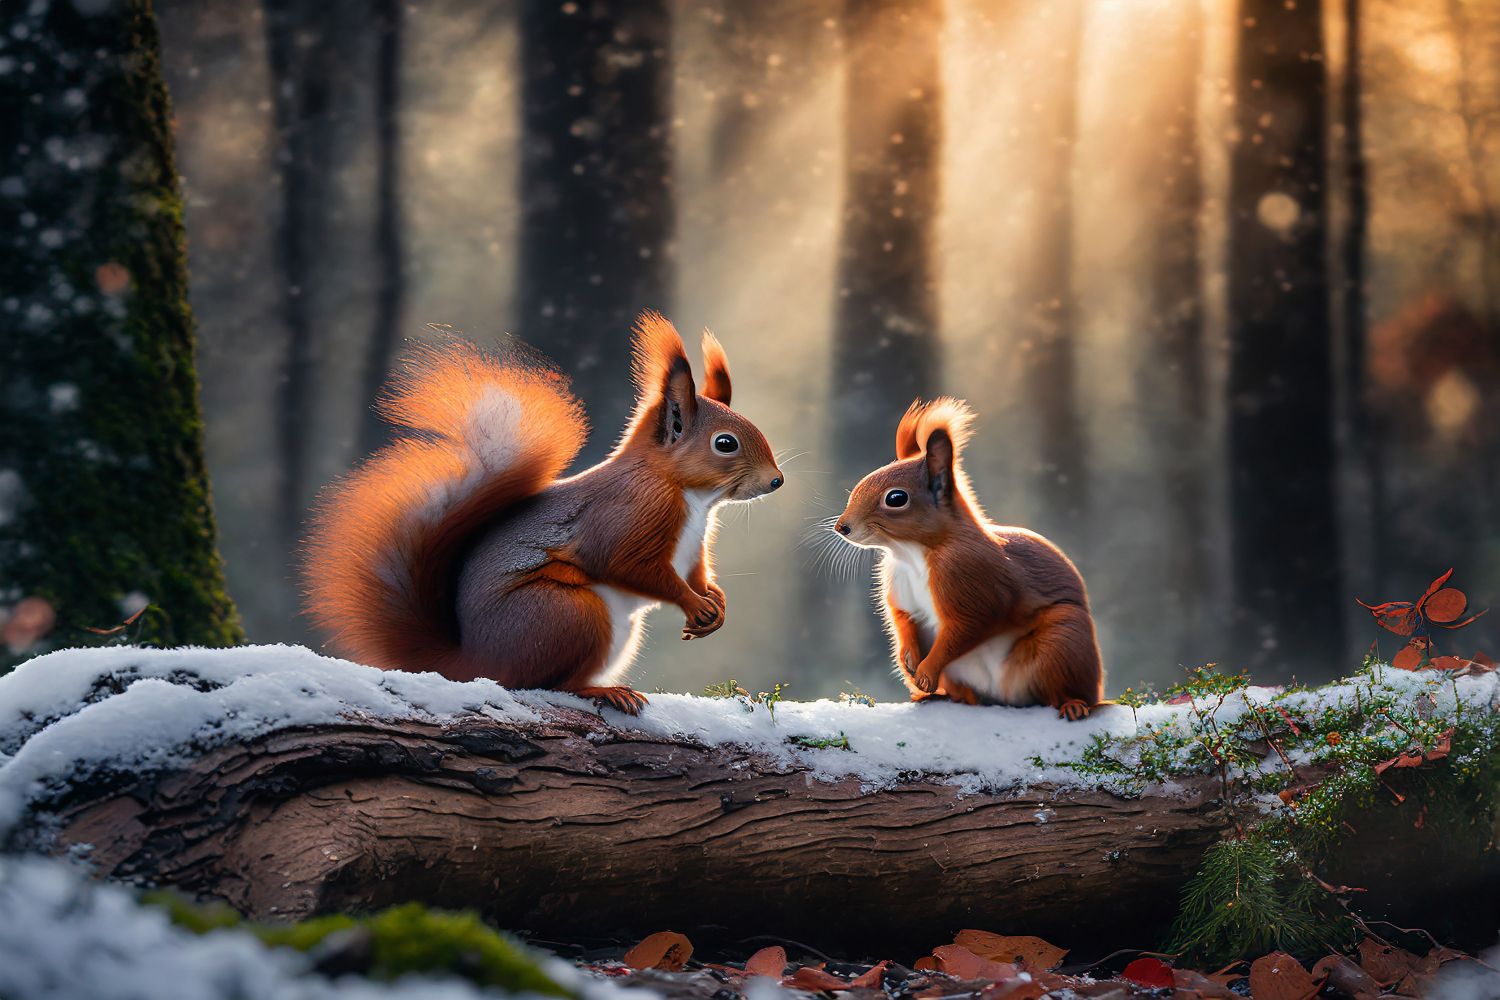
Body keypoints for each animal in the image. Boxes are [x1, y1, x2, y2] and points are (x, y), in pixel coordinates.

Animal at [298, 310, 780, 710]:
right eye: (725, 443)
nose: (776, 481)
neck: (691, 498)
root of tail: (475, 662)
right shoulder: (628, 514)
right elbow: (627, 564)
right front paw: (693, 604)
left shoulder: (695, 544)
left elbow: (698, 572)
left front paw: (715, 602)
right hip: (569, 615)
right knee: (549, 683)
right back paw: (601, 690)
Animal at [834, 398, 1104, 719]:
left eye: (896, 499)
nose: (842, 527)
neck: (912, 552)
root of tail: (1004, 697)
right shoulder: (900, 586)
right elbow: (903, 621)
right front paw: (909, 662)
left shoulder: (973, 581)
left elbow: (964, 630)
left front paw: (924, 671)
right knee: (967, 696)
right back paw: (937, 697)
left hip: (1063, 643)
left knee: (1066, 690)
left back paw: (1073, 704)